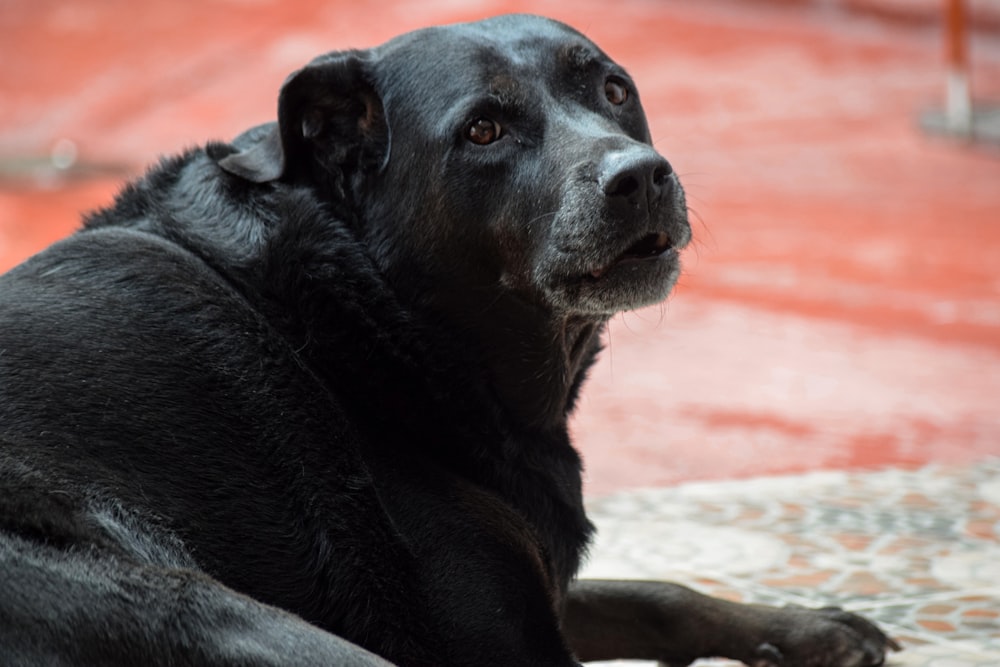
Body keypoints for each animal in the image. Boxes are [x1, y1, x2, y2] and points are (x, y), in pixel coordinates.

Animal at [0, 15, 904, 667]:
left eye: (614, 89)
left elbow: (655, 592)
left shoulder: (541, 587)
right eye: (483, 131)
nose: (642, 174)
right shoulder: (498, 643)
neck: (379, 311)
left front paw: (805, 628)